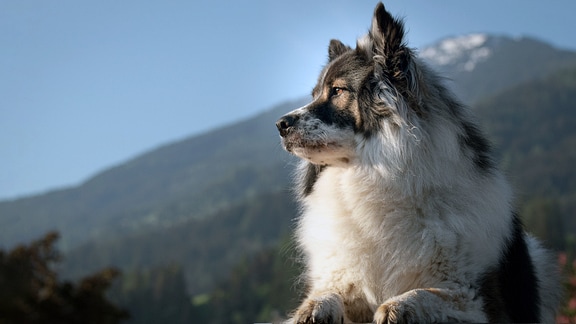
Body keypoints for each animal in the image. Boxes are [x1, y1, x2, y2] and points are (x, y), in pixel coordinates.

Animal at [276, 3, 560, 324]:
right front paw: (312, 309)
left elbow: (417, 296)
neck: (370, 177)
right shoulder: (343, 280)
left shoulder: (478, 299)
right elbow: (328, 293)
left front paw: (395, 307)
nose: (280, 124)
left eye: (337, 91)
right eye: (314, 95)